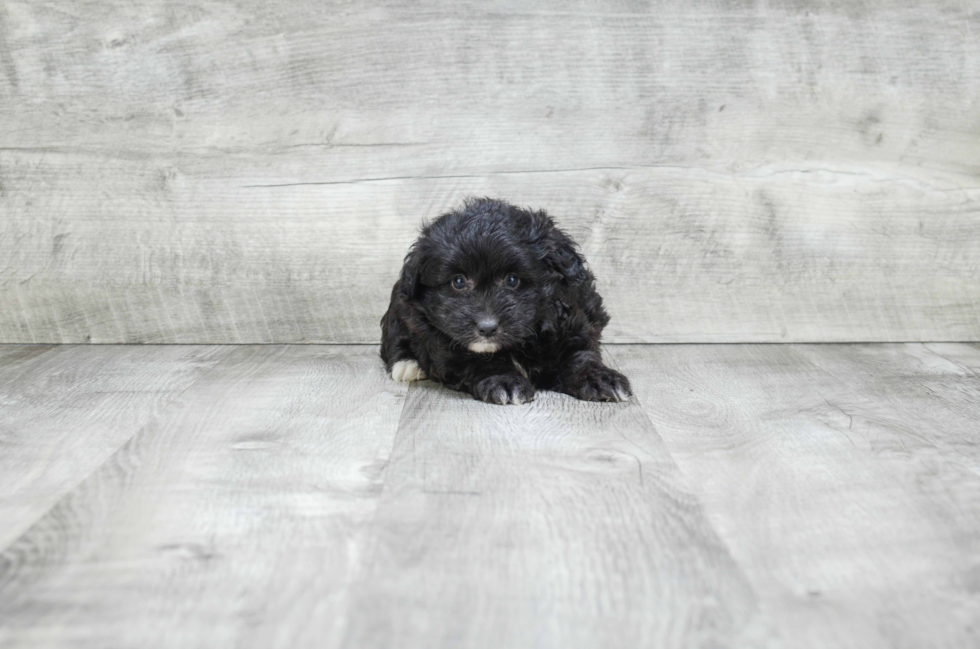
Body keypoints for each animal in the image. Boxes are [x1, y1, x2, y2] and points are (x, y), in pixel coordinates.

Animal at [378, 195, 632, 402]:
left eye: (512, 280)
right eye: (458, 282)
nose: (487, 328)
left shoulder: (574, 323)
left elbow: (580, 355)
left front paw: (600, 378)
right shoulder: (441, 339)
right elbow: (476, 359)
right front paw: (504, 380)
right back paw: (407, 364)